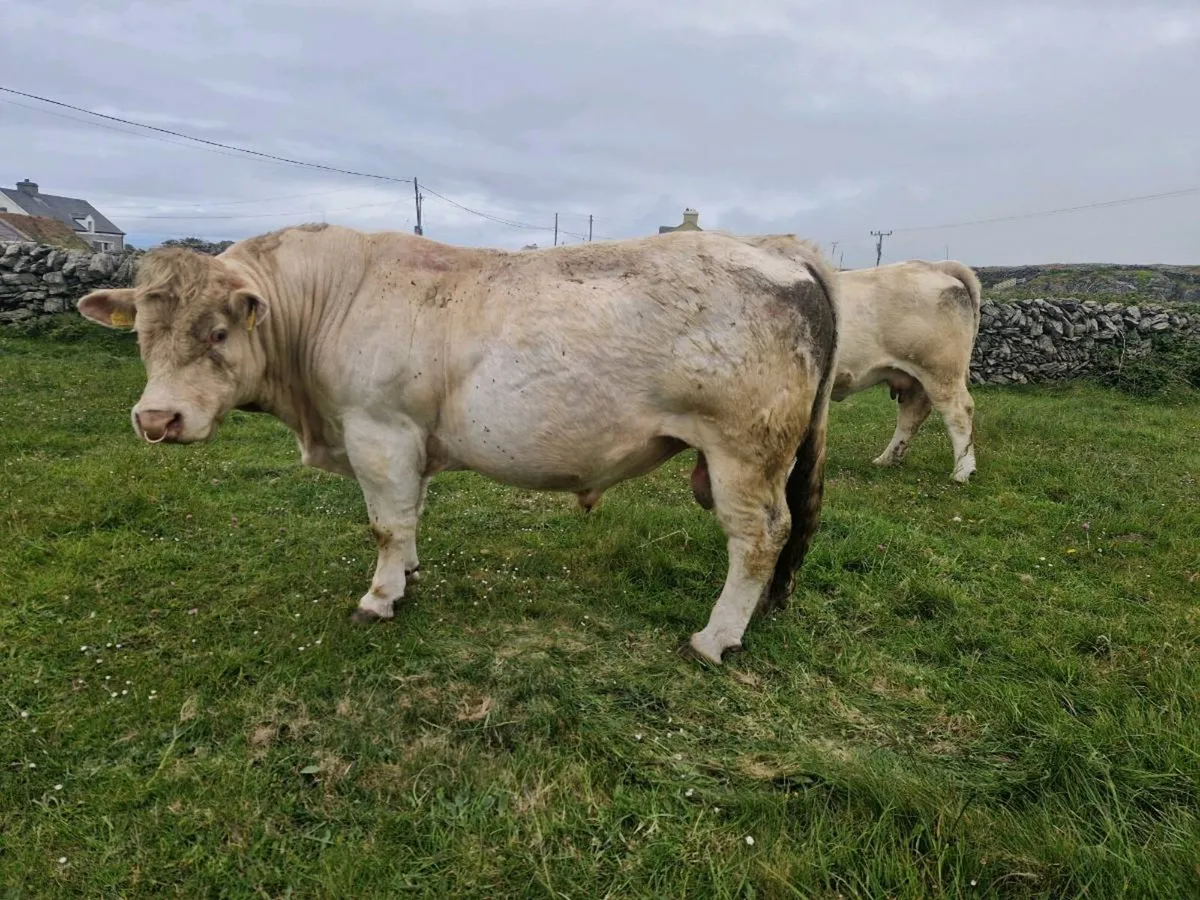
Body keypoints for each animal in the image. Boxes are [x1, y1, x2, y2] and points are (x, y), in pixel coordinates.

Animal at [75, 224, 839, 666]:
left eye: (218, 332)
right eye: (141, 332)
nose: (156, 419)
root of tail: (780, 250)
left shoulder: (377, 429)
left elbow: (385, 523)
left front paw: (381, 596)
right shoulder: (406, 439)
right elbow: (408, 516)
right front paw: (408, 573)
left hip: (744, 451)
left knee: (760, 535)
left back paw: (717, 637)